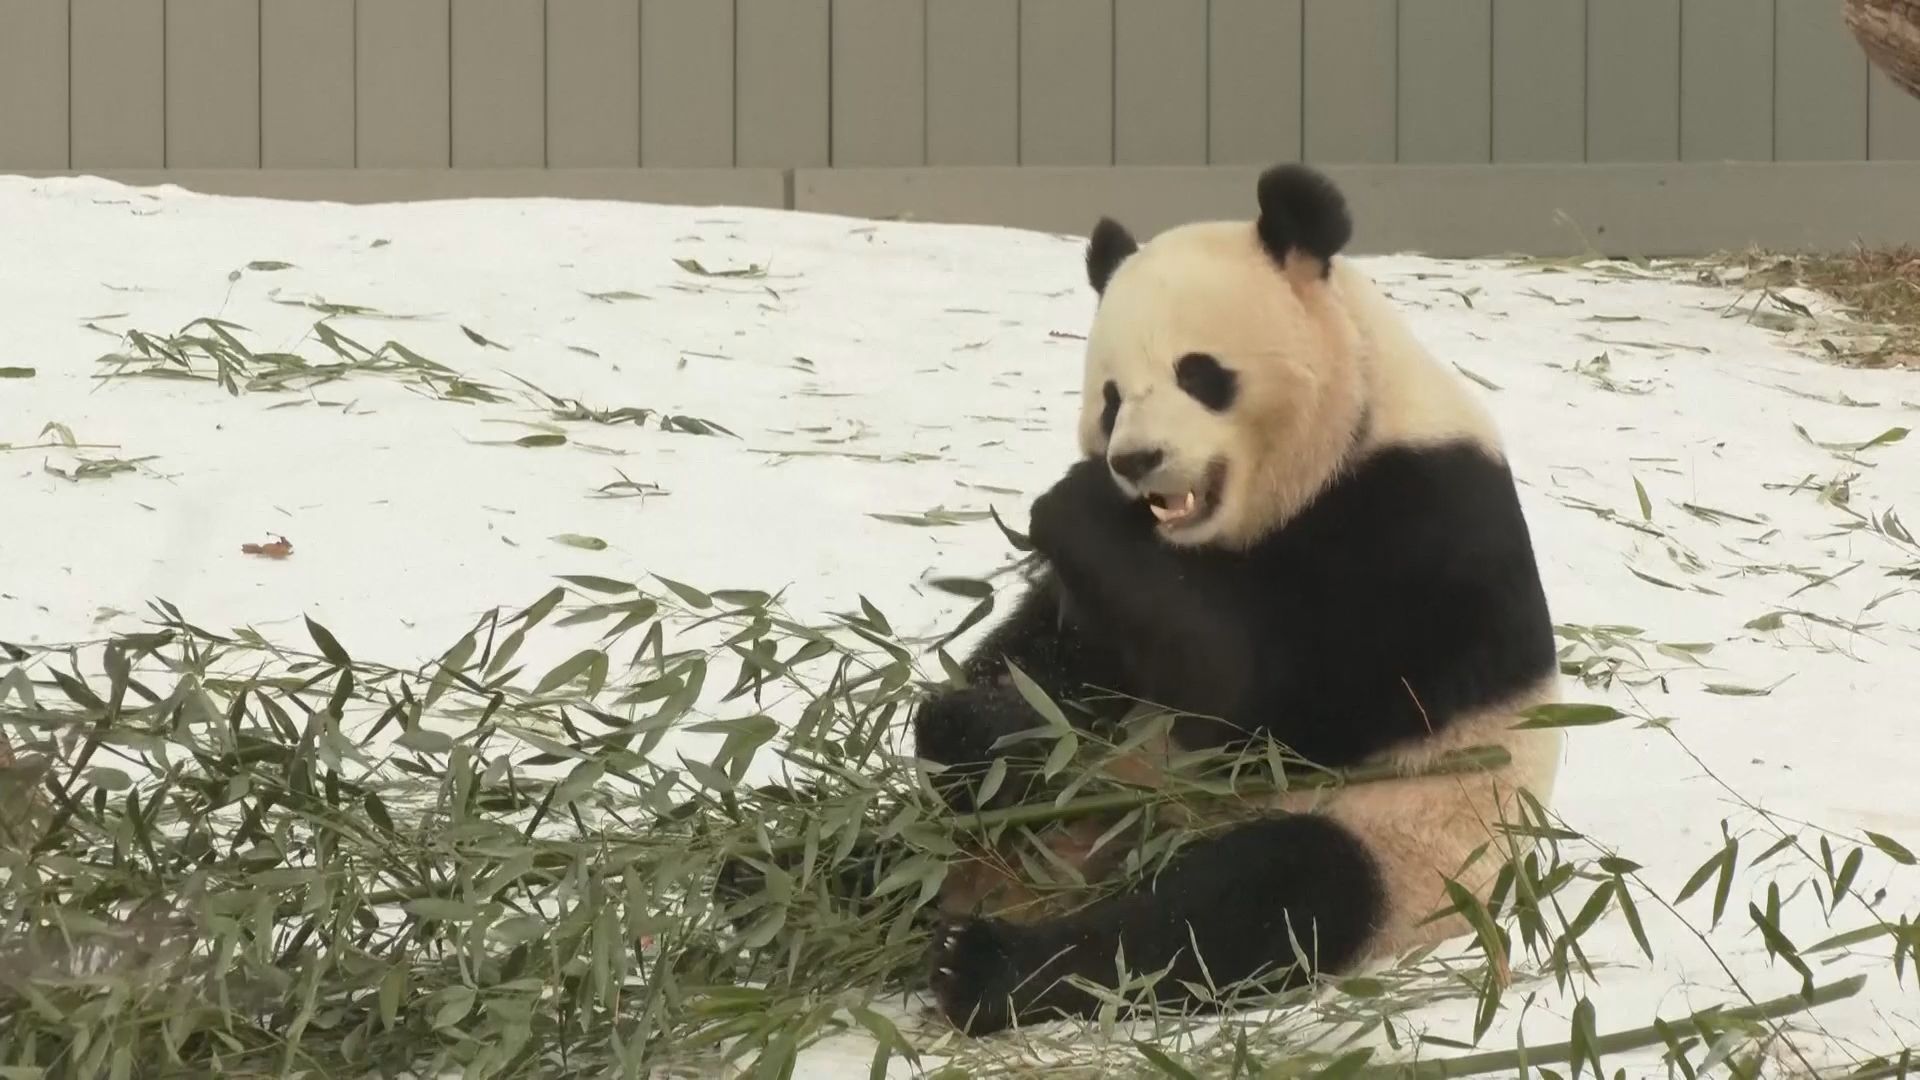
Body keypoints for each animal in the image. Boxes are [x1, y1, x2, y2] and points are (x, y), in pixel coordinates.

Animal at [909, 163, 1565, 1037]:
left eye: (1199, 373)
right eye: (1112, 396)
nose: (1135, 460)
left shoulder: (1424, 522)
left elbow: (1264, 701)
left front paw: (1073, 505)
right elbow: (1056, 663)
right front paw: (972, 725)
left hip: (1396, 845)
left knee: (1250, 902)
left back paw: (985, 968)